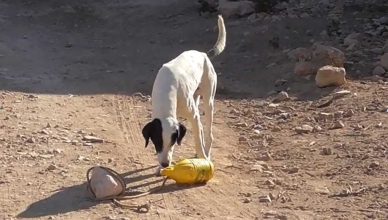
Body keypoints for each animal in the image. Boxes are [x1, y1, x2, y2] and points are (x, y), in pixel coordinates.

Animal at [142, 15, 227, 169]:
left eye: (172, 142)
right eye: (157, 142)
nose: (165, 164)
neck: (166, 92)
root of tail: (203, 54)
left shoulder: (192, 115)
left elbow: (198, 141)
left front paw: (204, 158)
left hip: (208, 101)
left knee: (207, 133)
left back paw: (206, 153)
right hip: (195, 98)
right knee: (200, 128)